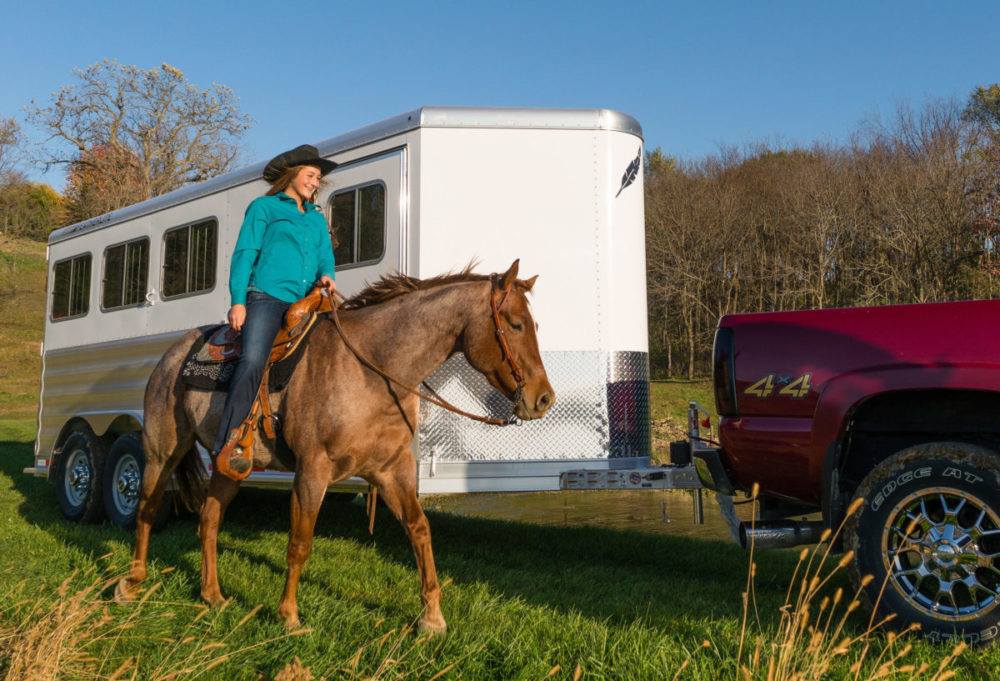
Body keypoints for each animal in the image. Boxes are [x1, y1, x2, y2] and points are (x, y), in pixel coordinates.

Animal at [118, 258, 560, 632]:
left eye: (535, 325)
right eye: (514, 324)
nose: (542, 398)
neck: (372, 370)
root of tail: (173, 354)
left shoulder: (392, 469)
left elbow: (419, 530)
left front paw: (432, 618)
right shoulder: (313, 470)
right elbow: (300, 542)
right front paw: (289, 615)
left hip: (230, 466)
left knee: (209, 518)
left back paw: (212, 595)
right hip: (163, 451)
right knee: (147, 508)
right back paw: (132, 583)